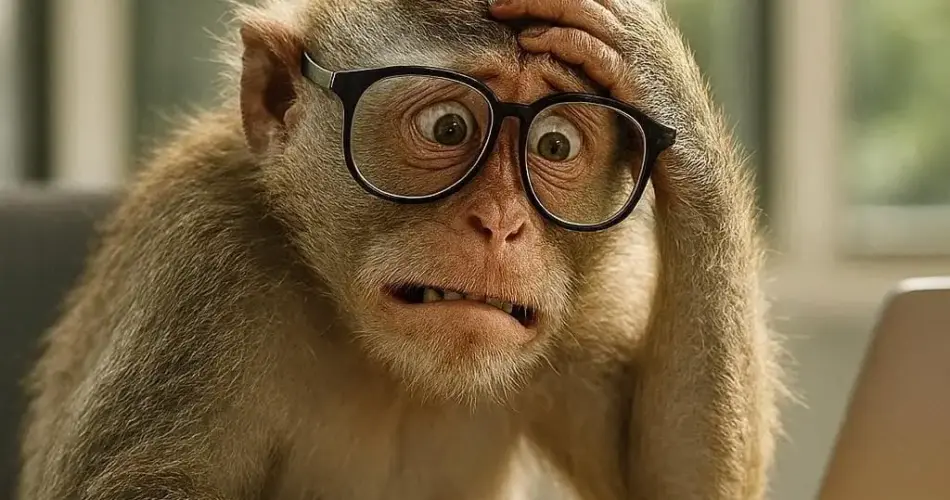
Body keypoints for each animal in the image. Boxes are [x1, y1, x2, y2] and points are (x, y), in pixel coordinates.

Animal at [18, 0, 786, 498]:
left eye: (555, 145)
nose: (501, 223)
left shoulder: (582, 303)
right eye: (448, 127)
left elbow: (669, 476)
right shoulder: (205, 258)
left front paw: (660, 77)